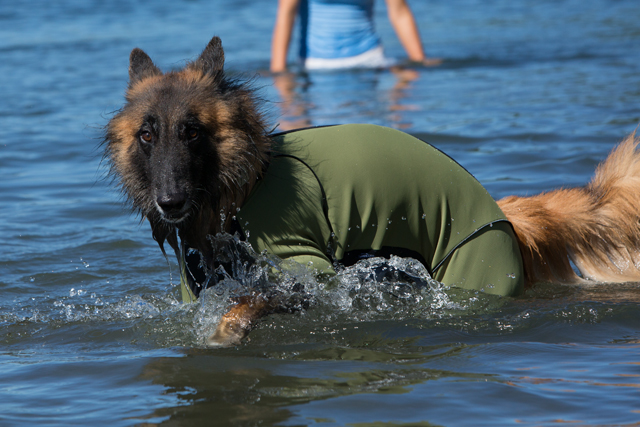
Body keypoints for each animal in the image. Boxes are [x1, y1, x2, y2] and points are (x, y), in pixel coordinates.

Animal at [102, 37, 640, 348]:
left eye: (192, 132)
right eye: (147, 135)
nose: (169, 202)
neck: (248, 182)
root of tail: (504, 215)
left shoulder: (305, 272)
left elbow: (248, 303)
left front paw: (224, 335)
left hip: (474, 273)